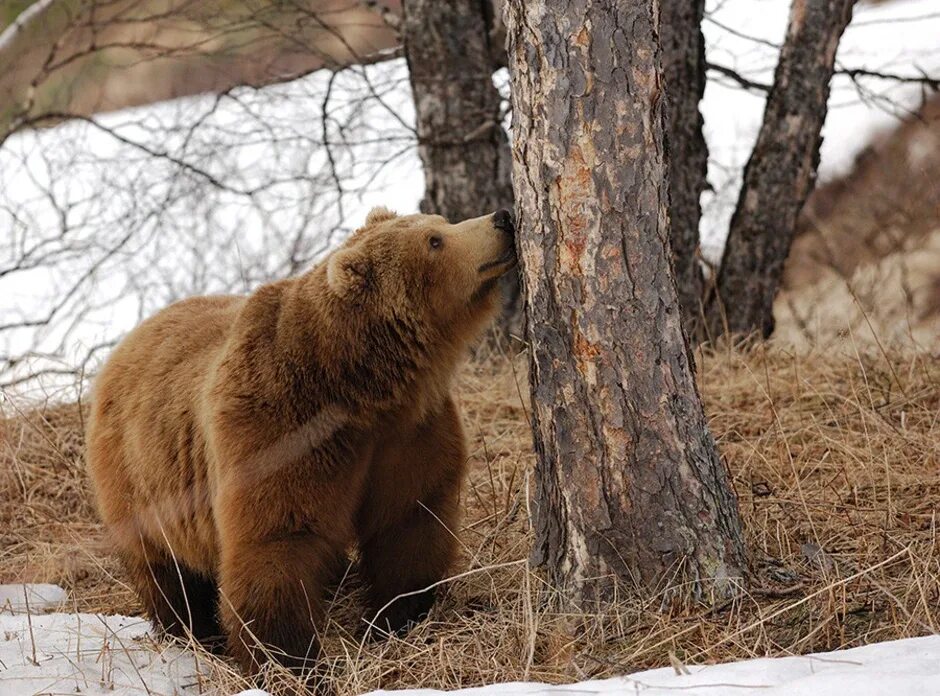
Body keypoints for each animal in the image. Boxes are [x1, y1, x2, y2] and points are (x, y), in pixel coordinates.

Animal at [84, 204, 516, 672]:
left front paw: (396, 617)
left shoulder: (409, 432)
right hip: (140, 479)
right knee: (165, 568)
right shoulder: (281, 430)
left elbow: (409, 521)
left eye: (439, 222)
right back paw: (192, 632)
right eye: (434, 240)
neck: (361, 387)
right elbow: (277, 542)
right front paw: (292, 661)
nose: (502, 218)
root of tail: (128, 343)